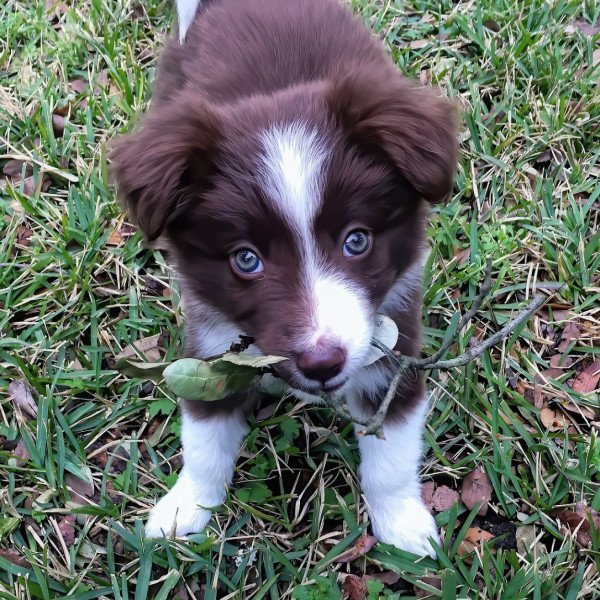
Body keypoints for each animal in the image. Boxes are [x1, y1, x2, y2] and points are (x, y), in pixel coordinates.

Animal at [110, 0, 458, 556]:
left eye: (356, 240)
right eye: (246, 259)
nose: (322, 362)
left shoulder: (392, 343)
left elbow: (393, 451)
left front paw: (402, 525)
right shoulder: (213, 343)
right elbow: (204, 438)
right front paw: (185, 509)